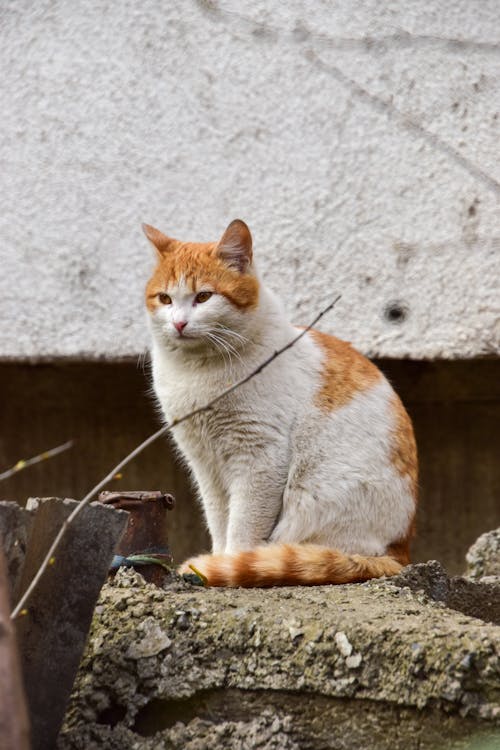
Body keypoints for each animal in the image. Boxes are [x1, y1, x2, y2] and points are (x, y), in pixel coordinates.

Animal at [144, 220, 418, 592]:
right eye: (165, 298)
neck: (197, 372)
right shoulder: (205, 465)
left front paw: (228, 565)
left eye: (203, 297)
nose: (179, 323)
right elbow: (219, 520)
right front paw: (216, 559)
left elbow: (243, 526)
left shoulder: (259, 458)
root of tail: (400, 552)